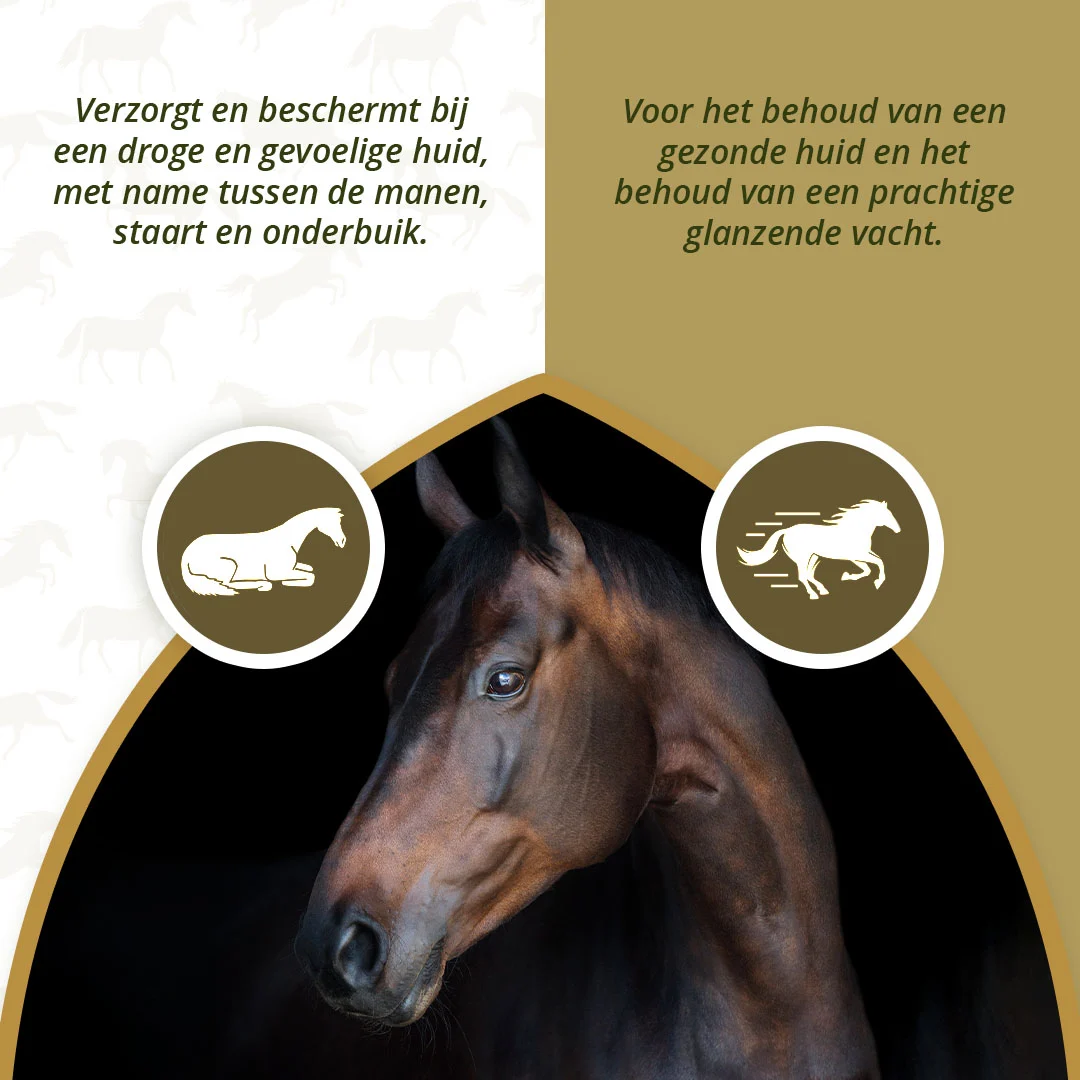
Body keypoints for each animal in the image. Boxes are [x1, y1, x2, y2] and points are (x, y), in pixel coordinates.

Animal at [181, 507, 346, 597]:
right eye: (333, 522)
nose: (343, 541)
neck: (287, 539)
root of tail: (186, 555)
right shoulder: (277, 573)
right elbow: (311, 576)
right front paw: (288, 583)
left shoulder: (292, 567)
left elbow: (309, 570)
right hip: (229, 565)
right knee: (228, 584)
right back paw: (262, 584)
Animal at [738, 500, 901, 600]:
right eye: (886, 514)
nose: (898, 530)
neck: (855, 530)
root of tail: (787, 530)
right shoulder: (857, 555)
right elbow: (878, 563)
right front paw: (878, 582)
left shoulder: (856, 557)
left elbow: (870, 567)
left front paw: (846, 576)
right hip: (803, 558)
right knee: (803, 576)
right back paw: (813, 595)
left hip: (813, 556)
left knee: (809, 575)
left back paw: (823, 590)